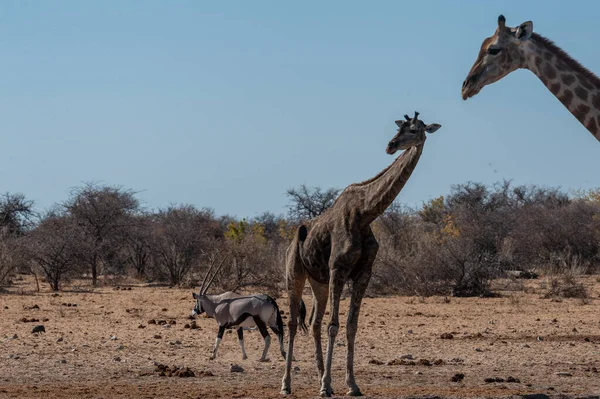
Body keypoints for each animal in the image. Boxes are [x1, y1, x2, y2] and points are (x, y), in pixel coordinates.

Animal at [282, 111, 440, 396]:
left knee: (314, 323)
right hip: (295, 275)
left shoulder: (363, 273)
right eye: (401, 128)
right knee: (292, 322)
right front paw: (327, 386)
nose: (390, 145)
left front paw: (350, 385)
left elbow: (351, 326)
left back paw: (320, 376)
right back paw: (287, 384)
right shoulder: (338, 269)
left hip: (318, 282)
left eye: (414, 130)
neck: (366, 213)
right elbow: (334, 325)